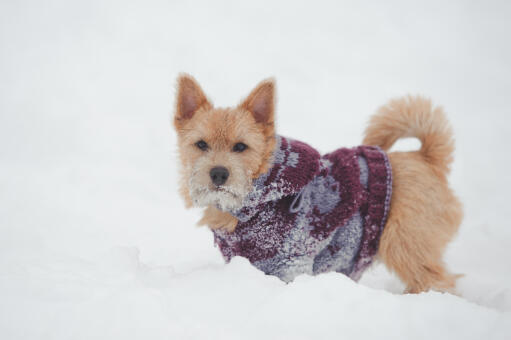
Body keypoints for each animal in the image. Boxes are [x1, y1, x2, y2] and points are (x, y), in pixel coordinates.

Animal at [173, 73, 464, 292]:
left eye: (240, 146)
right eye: (201, 144)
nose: (218, 174)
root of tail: (425, 157)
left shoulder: (294, 261)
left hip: (404, 242)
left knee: (436, 279)